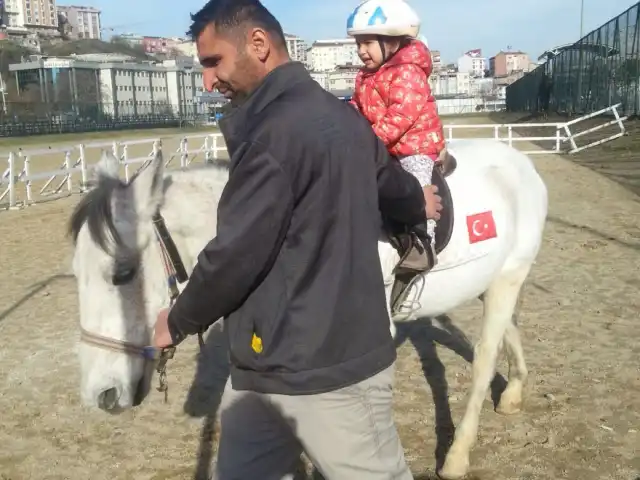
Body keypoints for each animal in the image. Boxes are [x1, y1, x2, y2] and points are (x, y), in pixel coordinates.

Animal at [71, 139, 544, 480]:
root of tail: (521, 162)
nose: (100, 395)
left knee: (484, 358)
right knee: (511, 327)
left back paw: (458, 455)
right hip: (494, 280)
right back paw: (514, 393)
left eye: (123, 272)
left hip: (507, 277)